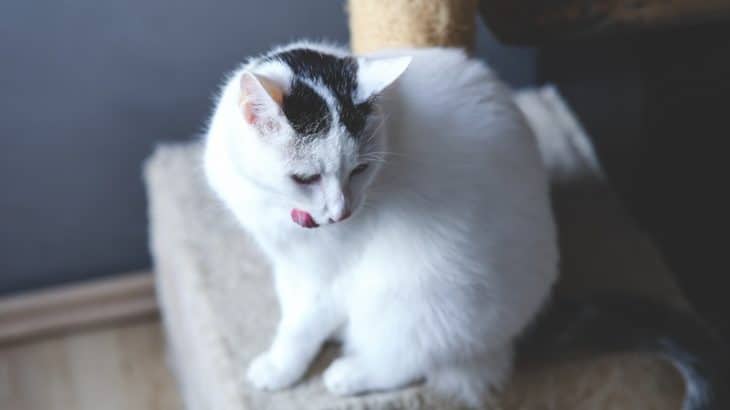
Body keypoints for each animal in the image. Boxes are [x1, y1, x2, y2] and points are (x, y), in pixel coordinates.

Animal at [202, 40, 556, 406]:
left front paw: (280, 367)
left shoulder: (328, 276)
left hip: (414, 303)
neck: (276, 205)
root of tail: (502, 343)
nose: (340, 212)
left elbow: (301, 325)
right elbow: (293, 307)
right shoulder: (289, 262)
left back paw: (350, 374)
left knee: (408, 361)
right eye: (306, 178)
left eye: (360, 169)